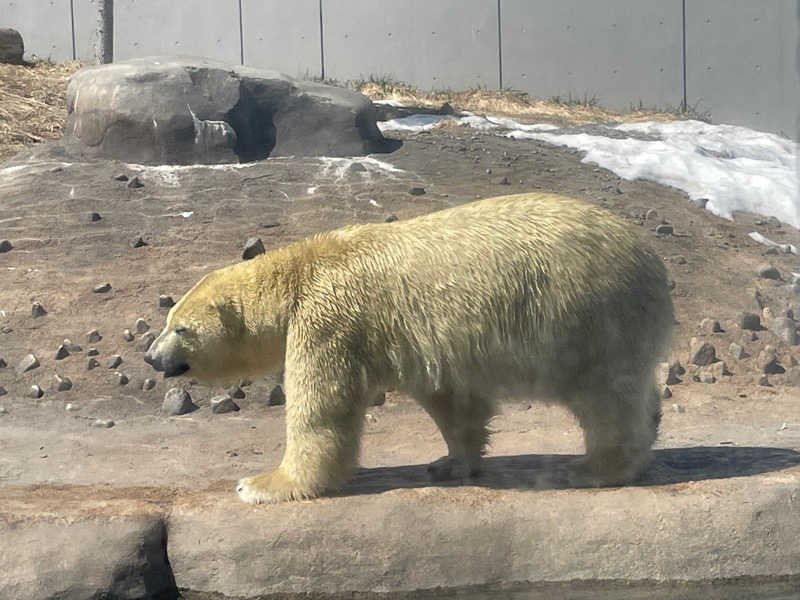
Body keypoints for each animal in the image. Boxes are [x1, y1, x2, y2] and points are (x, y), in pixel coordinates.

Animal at [145, 192, 676, 502]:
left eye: (180, 328)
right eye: (166, 321)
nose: (151, 357)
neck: (298, 274)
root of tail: (652, 260)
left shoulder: (328, 319)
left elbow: (323, 405)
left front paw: (262, 483)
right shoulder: (426, 342)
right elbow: (453, 401)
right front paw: (449, 463)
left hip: (588, 314)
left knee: (604, 396)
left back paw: (593, 467)